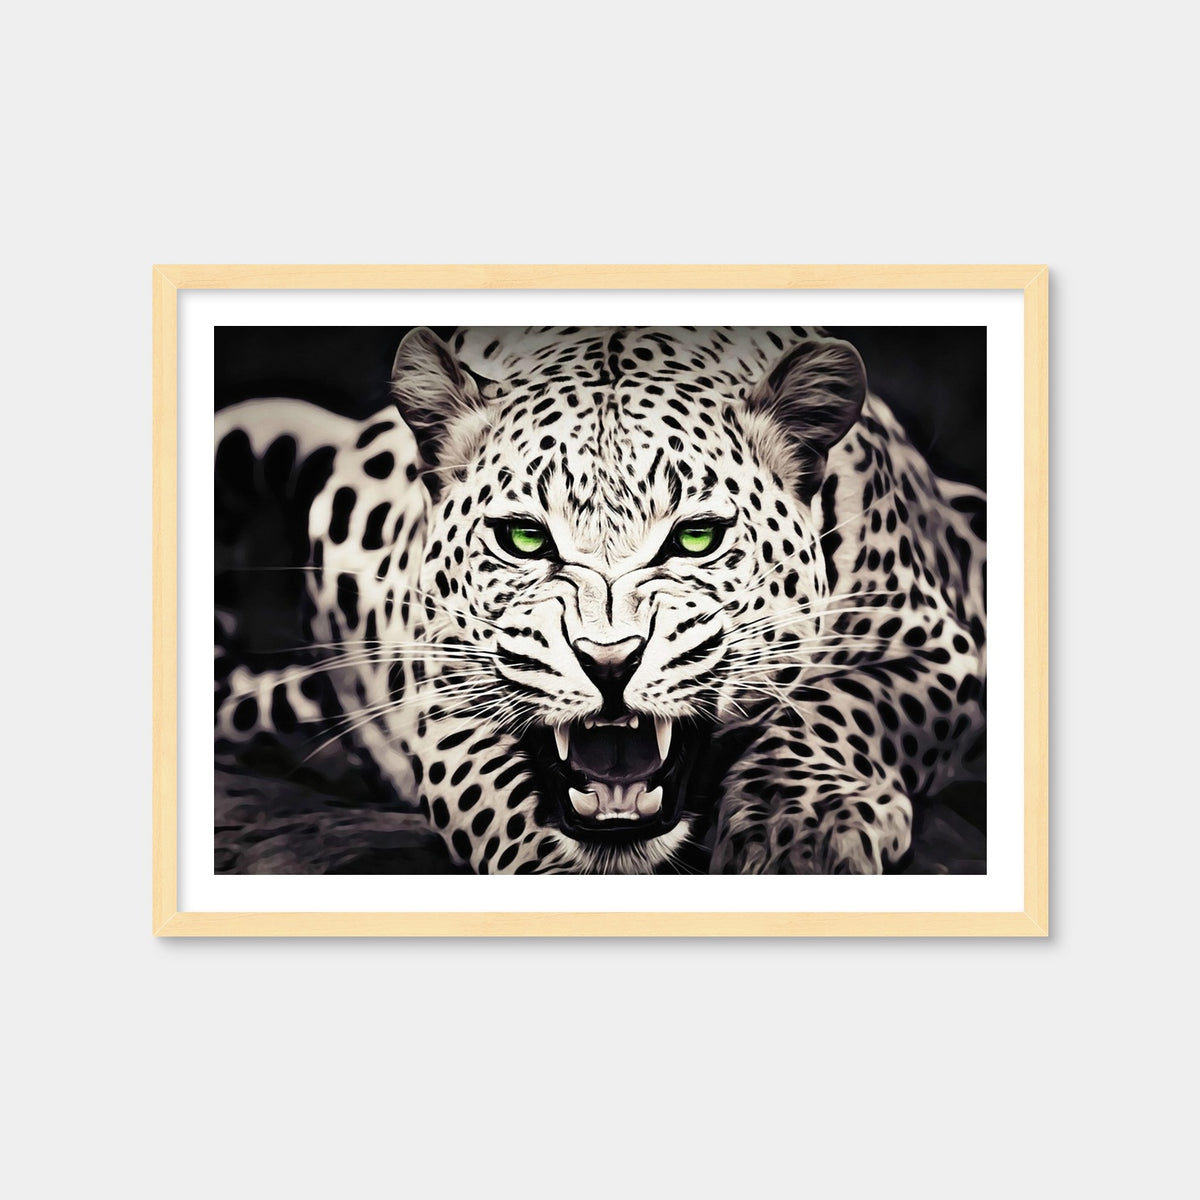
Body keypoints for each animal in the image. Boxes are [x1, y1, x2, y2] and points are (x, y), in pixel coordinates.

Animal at [214, 326, 986, 874]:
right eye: (525, 538)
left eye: (696, 537)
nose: (609, 662)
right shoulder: (447, 697)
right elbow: (496, 800)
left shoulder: (936, 651)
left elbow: (840, 705)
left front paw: (801, 831)